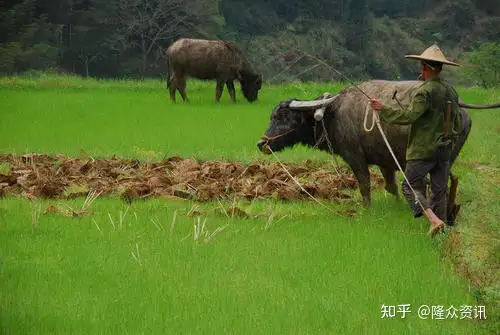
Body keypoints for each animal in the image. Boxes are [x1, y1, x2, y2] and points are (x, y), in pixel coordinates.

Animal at [258, 80, 500, 207]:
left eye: (284, 117)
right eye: (271, 116)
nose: (262, 143)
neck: (331, 113)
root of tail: (459, 105)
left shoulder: (355, 157)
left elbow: (364, 183)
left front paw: (366, 208)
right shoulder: (385, 161)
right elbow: (391, 186)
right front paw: (397, 205)